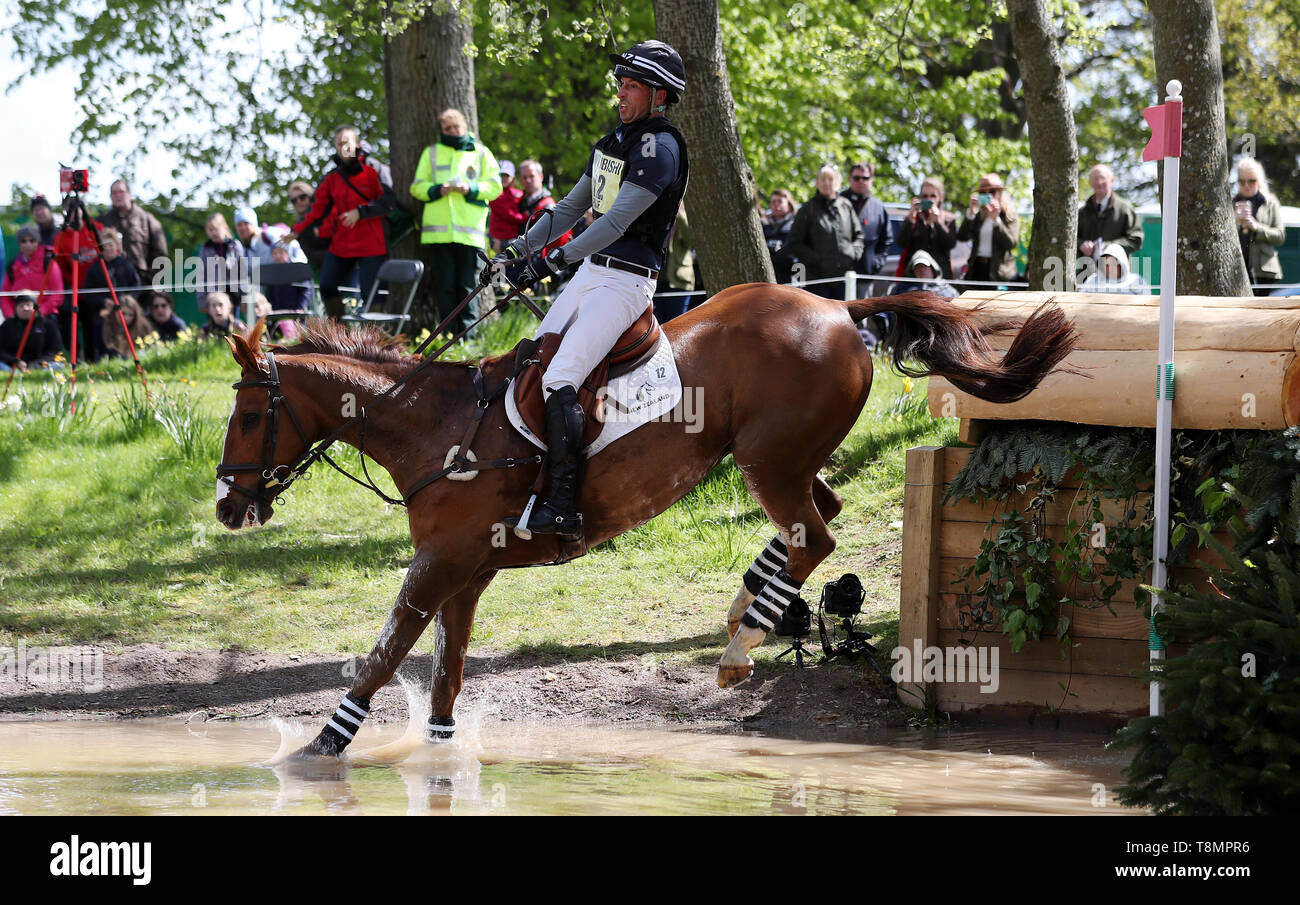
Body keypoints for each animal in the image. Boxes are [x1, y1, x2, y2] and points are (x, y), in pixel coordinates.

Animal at [220, 286, 1076, 754]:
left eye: (248, 415)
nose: (228, 505)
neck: (435, 426)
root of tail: (839, 304)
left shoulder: (440, 563)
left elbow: (384, 653)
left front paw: (321, 747)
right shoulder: (467, 571)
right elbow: (446, 673)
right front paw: (436, 756)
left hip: (767, 458)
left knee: (818, 533)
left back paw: (738, 649)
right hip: (786, 456)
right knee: (819, 515)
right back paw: (748, 604)